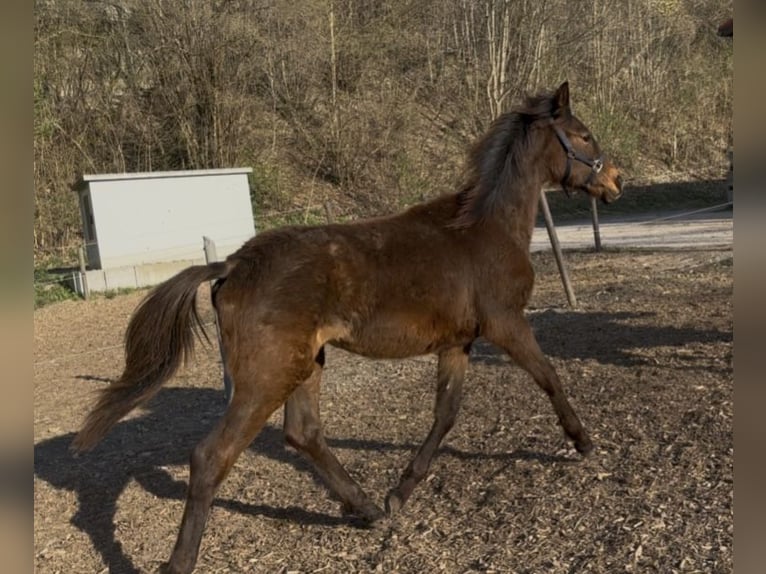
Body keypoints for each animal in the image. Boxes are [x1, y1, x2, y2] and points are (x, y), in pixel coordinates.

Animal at [72, 81, 623, 573]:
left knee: (303, 432)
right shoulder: (506, 324)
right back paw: (181, 560)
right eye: (584, 134)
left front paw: (400, 491)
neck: (486, 230)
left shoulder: (457, 343)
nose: (616, 181)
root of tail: (232, 264)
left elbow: (445, 414)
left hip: (306, 363)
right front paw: (583, 443)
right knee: (212, 456)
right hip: (268, 375)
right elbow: (549, 376)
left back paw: (369, 509)